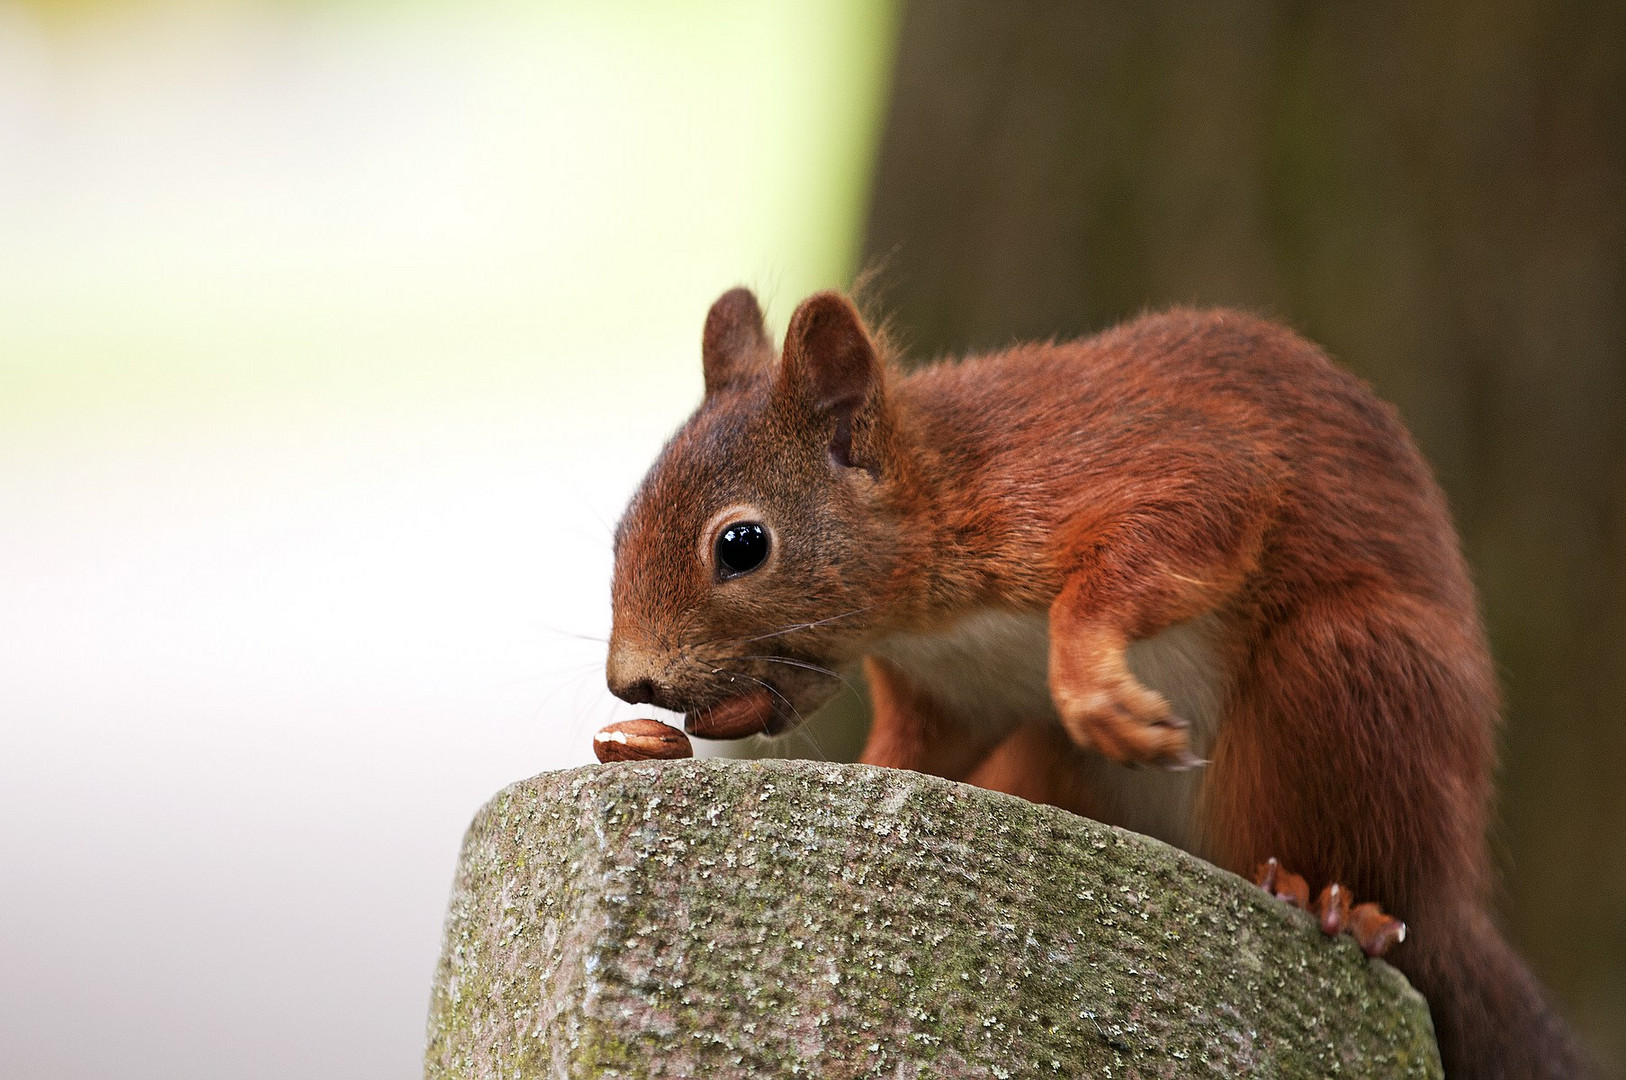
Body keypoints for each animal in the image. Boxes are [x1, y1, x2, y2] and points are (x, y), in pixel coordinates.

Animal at [604, 283, 1593, 1073]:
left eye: (742, 545)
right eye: (619, 532)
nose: (630, 686)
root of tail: (1456, 895)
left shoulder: (1093, 471)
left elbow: (1185, 519)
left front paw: (1100, 694)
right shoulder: (954, 694)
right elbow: (916, 750)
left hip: (1352, 671)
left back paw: (1344, 903)